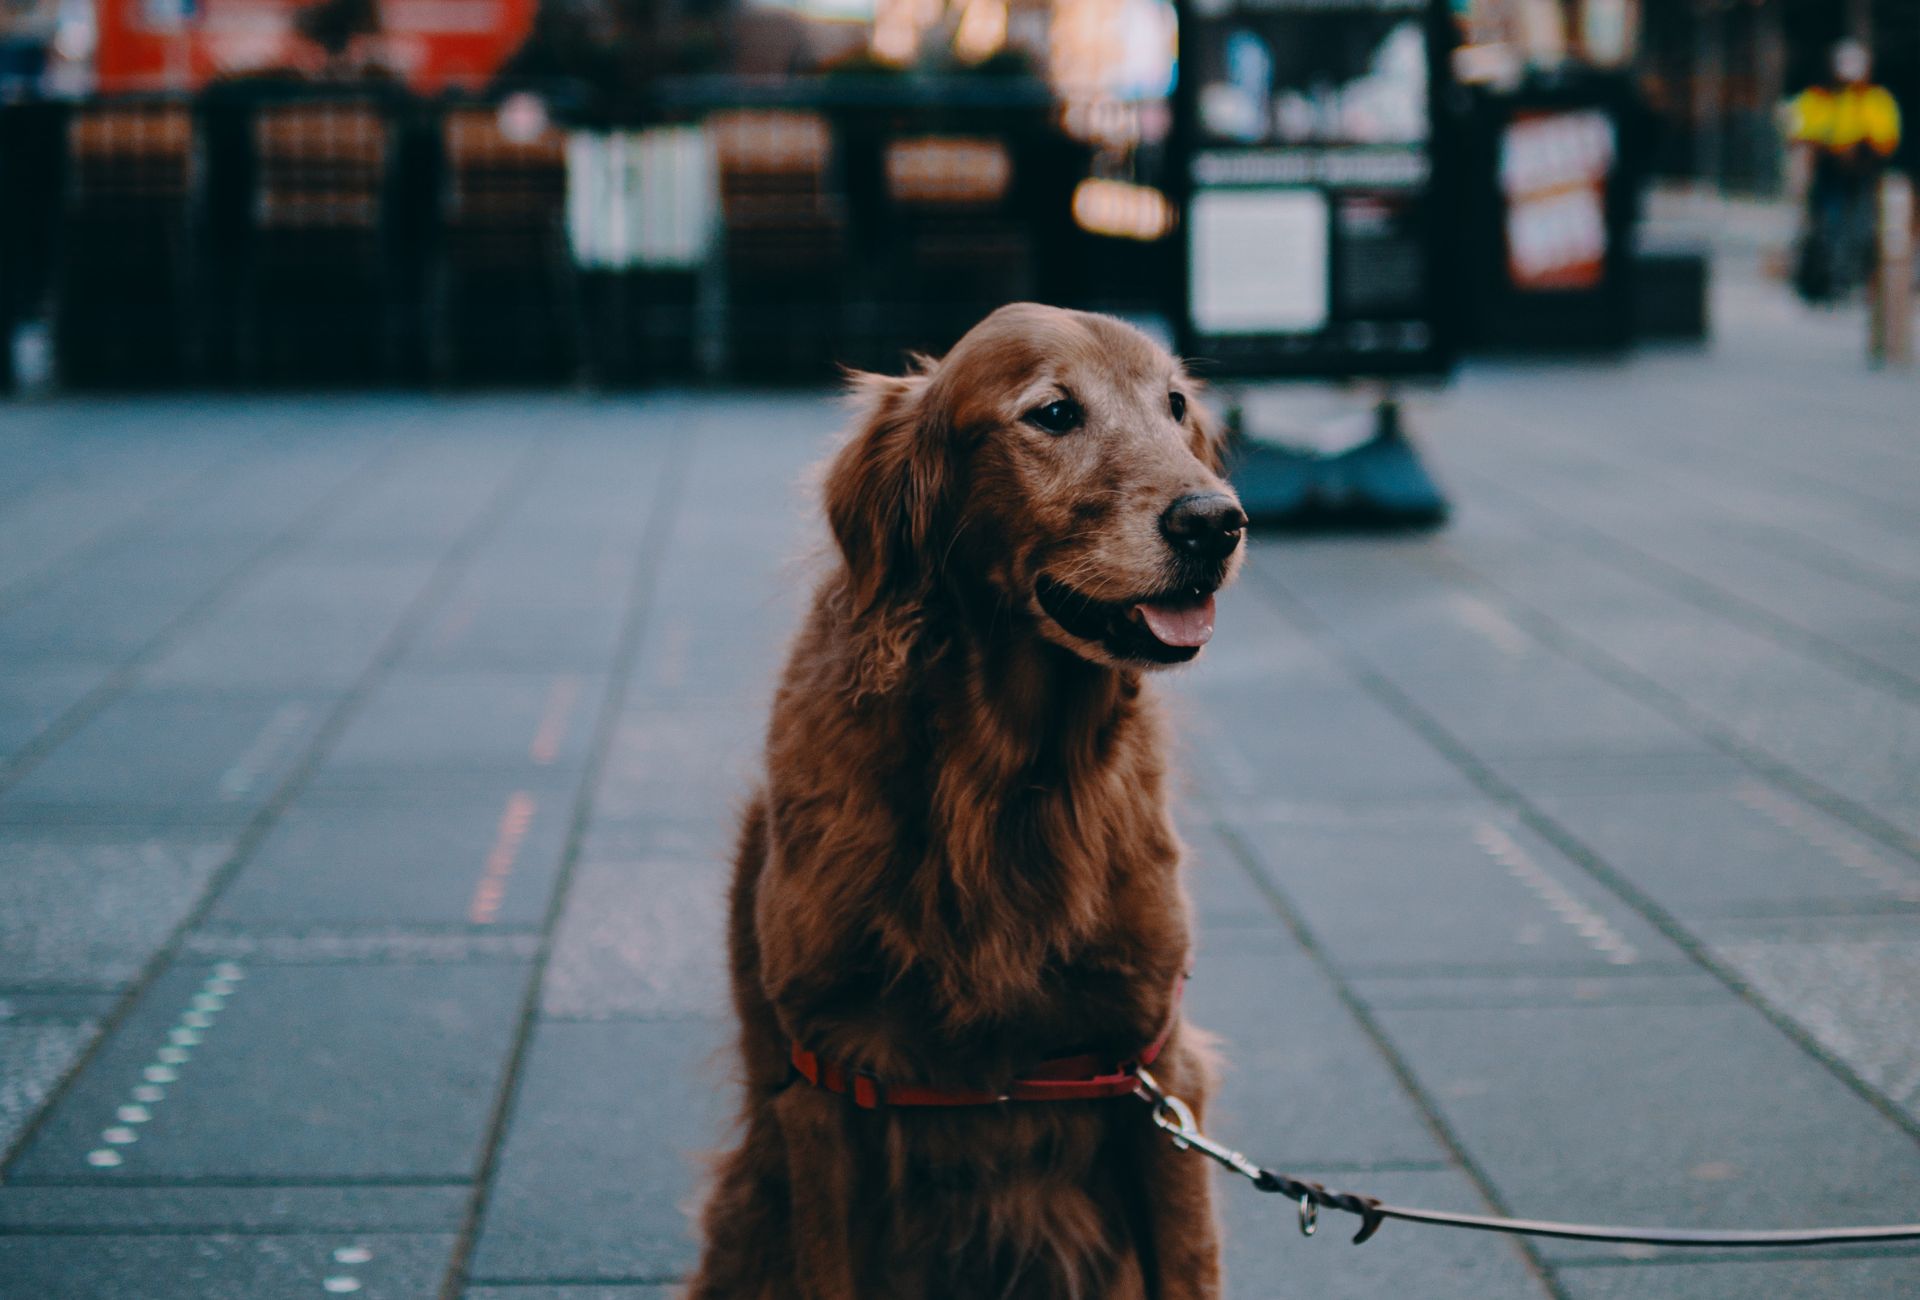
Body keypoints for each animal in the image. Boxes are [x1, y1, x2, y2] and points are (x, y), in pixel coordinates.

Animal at [691, 303, 1244, 1298]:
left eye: (1176, 405)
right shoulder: (829, 1087)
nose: (1216, 522)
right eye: (1054, 414)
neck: (1007, 779)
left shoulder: (1154, 1069)